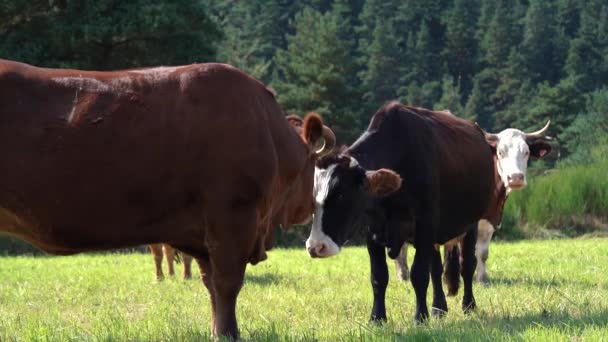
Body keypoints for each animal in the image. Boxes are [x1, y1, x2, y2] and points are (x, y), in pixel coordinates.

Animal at [0, 59, 334, 340]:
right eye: (314, 166)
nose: (308, 208)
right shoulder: (233, 217)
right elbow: (227, 283)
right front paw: (229, 333)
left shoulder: (202, 233)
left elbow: (210, 283)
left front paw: (216, 330)